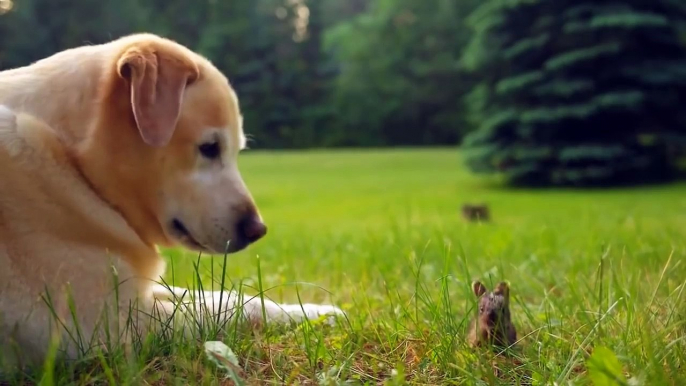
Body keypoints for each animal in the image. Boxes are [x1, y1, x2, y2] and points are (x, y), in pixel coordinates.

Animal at [0, 34, 344, 368]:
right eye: (209, 148)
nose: (257, 230)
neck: (76, 167)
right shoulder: (110, 326)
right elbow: (228, 312)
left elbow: (222, 297)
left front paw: (315, 312)